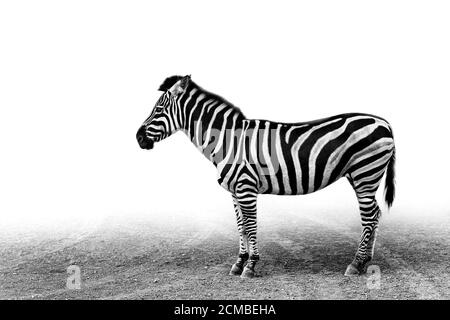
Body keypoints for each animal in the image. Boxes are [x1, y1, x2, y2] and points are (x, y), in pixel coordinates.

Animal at [135, 74, 396, 278]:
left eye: (158, 110)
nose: (138, 138)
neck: (228, 141)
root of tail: (384, 122)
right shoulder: (234, 191)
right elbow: (240, 226)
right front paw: (239, 263)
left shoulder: (246, 187)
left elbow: (251, 225)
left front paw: (250, 266)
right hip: (361, 176)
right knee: (375, 214)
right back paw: (366, 261)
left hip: (365, 173)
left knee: (369, 218)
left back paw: (355, 264)